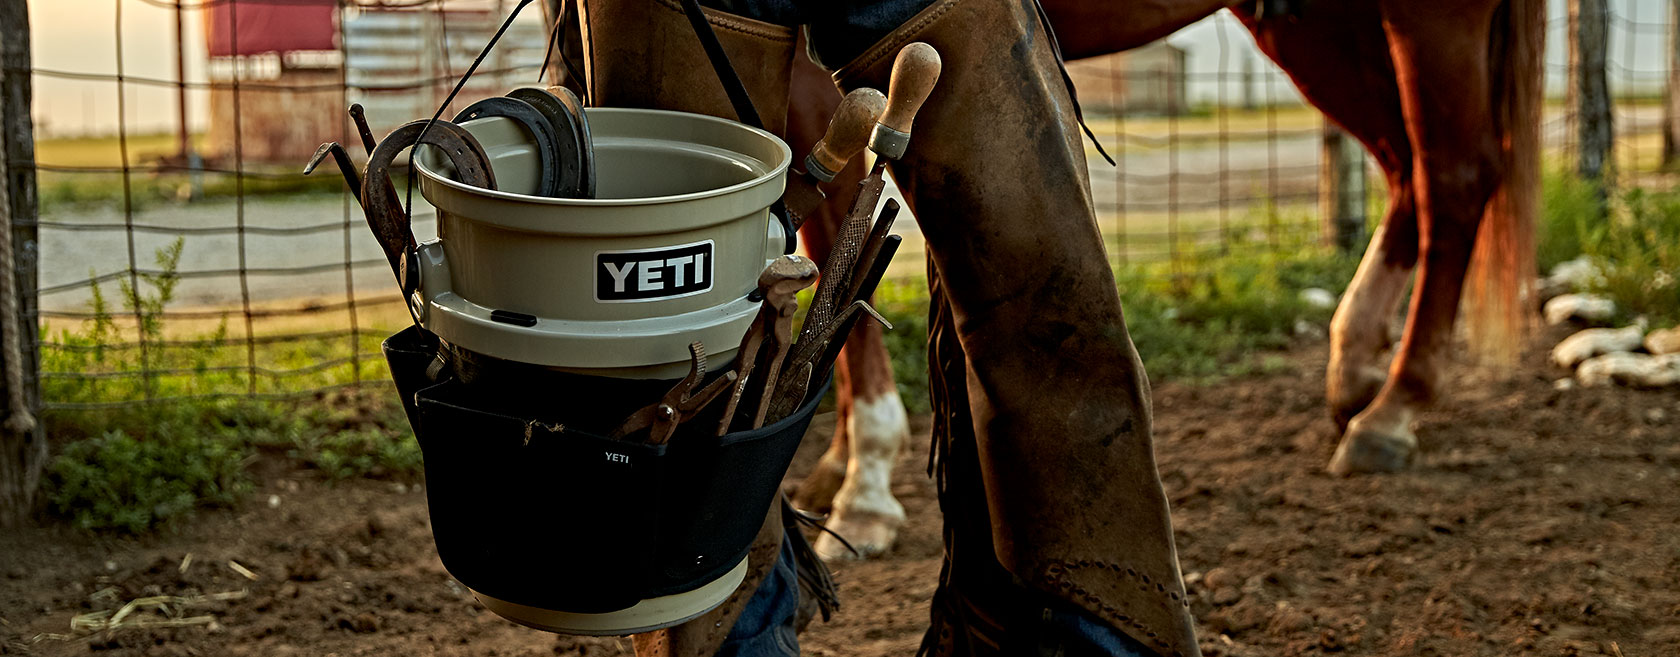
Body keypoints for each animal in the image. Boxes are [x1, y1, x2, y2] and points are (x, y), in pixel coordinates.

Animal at [792, 0, 1538, 564]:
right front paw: (835, 467)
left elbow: (838, 248)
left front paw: (864, 489)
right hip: (1322, 30)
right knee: (1403, 167)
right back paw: (1356, 368)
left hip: (1427, 19)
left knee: (1455, 176)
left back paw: (1394, 408)